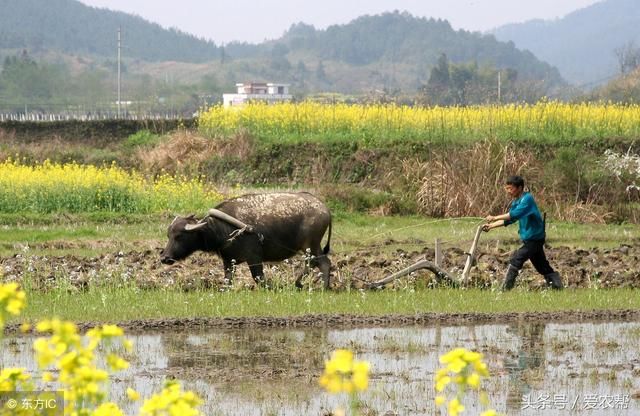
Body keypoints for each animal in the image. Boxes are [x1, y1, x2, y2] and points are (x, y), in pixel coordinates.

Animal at [160, 193, 332, 288]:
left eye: (179, 236)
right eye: (168, 235)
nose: (164, 258)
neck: (221, 229)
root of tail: (324, 209)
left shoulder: (254, 258)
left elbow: (258, 278)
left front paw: (270, 287)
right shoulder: (229, 261)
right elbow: (227, 281)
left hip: (310, 244)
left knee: (318, 262)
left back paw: (316, 286)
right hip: (312, 246)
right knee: (319, 262)